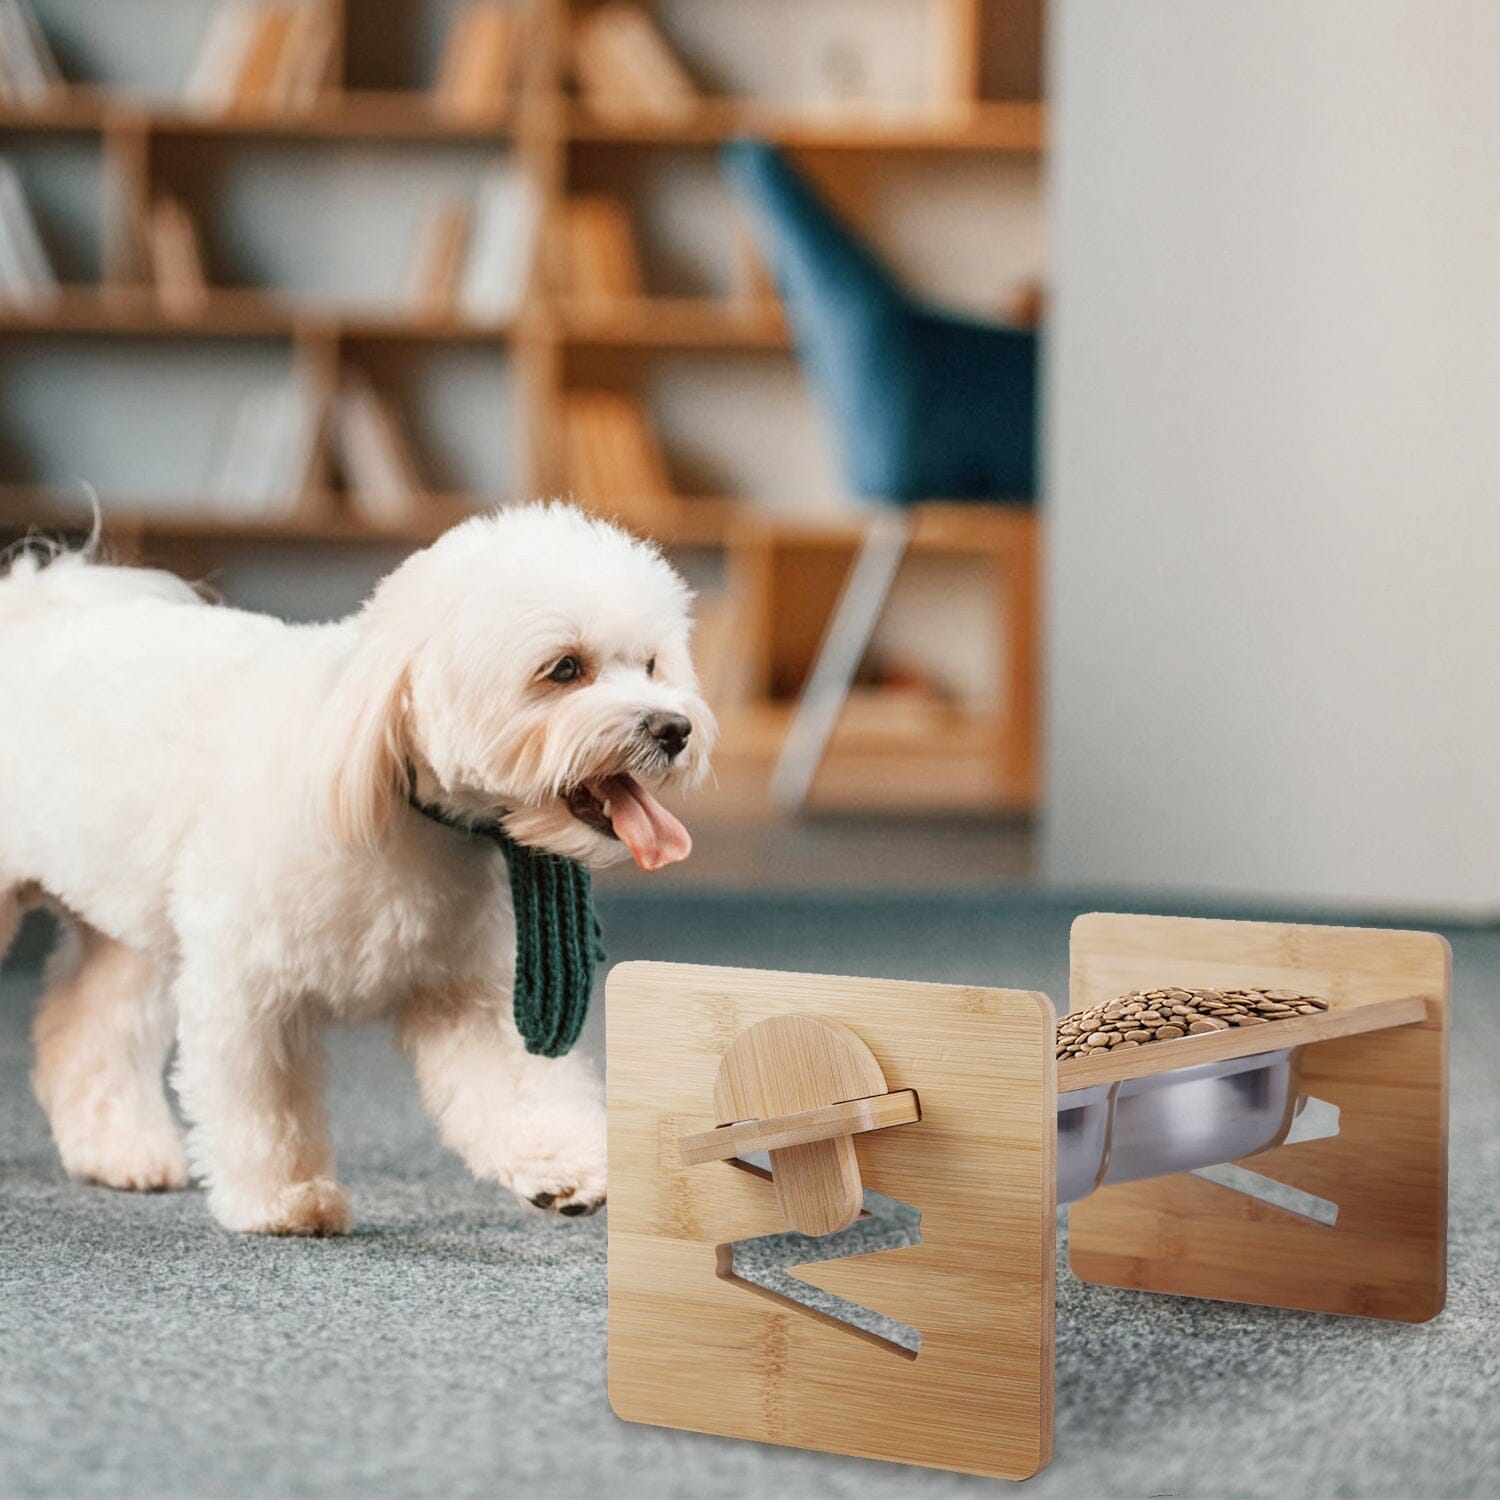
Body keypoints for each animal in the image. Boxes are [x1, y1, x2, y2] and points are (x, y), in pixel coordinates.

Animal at [0, 504, 711, 1230]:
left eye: (651, 664)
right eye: (564, 668)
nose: (674, 729)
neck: (389, 780)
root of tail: (31, 612)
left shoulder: (473, 994)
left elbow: (518, 1087)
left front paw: (560, 1165)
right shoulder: (247, 987)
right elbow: (264, 1103)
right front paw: (284, 1197)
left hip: (126, 927)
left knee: (83, 1027)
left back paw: (120, 1153)